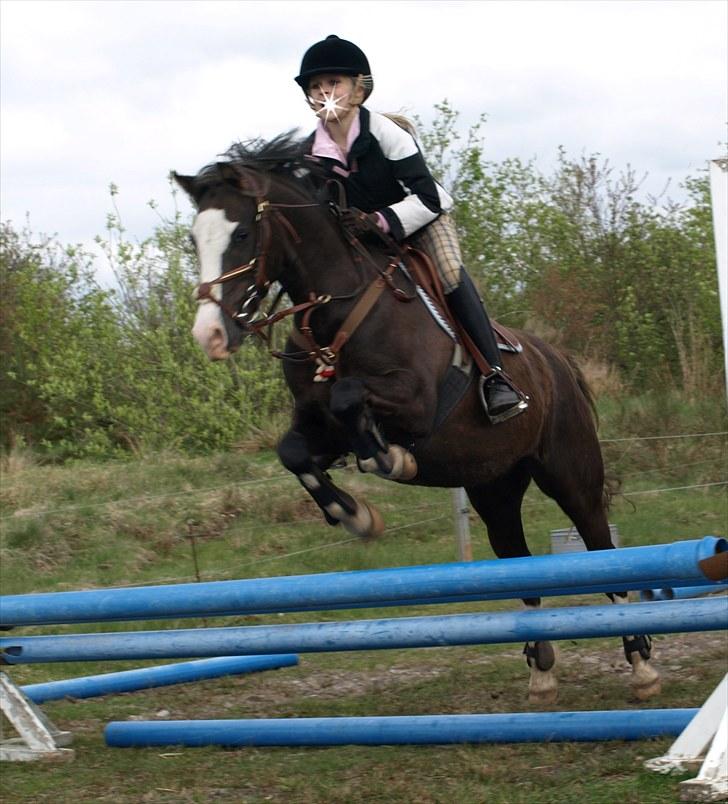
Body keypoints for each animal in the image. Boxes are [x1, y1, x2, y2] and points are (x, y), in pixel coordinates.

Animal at [173, 133, 660, 704]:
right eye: (194, 239)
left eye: (243, 233)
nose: (210, 334)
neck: (337, 311)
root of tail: (556, 360)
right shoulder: (318, 428)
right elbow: (294, 451)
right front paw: (354, 514)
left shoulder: (417, 402)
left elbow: (351, 400)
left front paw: (390, 460)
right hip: (494, 485)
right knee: (517, 560)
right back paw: (541, 670)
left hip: (570, 473)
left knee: (602, 549)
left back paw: (641, 663)